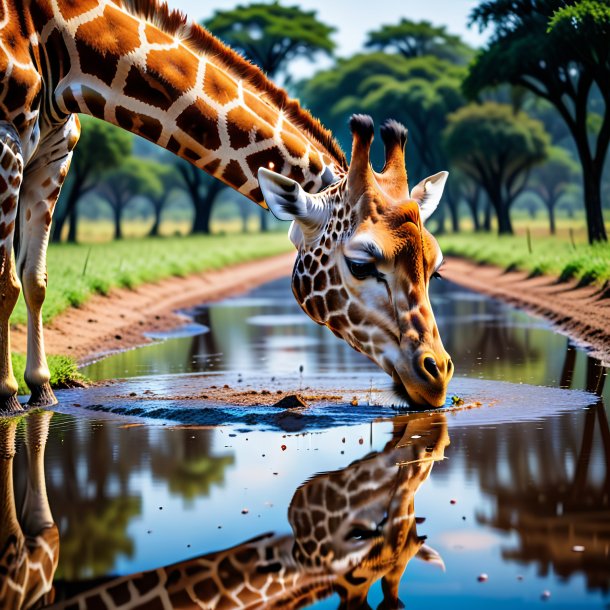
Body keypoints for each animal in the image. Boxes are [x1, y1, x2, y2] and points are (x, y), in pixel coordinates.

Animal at [1, 0, 452, 410]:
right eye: (360, 265)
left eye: (436, 268)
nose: (438, 376)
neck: (67, 56)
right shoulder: (7, 141)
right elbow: (7, 281)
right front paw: (7, 395)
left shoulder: (55, 152)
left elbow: (35, 279)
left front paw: (41, 389)